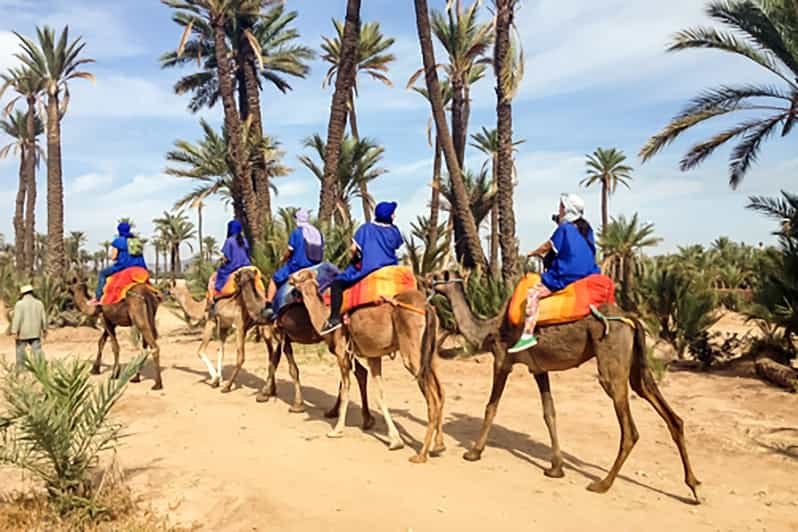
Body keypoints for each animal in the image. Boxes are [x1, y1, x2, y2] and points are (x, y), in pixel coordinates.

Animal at [292, 268, 446, 464]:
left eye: (300, 274)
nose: (289, 278)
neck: (325, 317)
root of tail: (426, 307)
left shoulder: (342, 352)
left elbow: (346, 389)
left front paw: (337, 430)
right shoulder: (374, 355)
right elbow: (379, 395)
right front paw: (394, 440)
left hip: (412, 350)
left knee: (432, 399)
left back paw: (421, 455)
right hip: (430, 352)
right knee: (441, 392)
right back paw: (439, 445)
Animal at [432, 272, 700, 500]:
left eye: (438, 276)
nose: (426, 281)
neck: (489, 329)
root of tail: (630, 319)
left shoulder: (502, 360)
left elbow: (491, 407)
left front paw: (473, 452)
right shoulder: (538, 368)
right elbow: (549, 412)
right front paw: (556, 468)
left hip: (611, 359)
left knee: (630, 429)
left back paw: (602, 484)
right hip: (636, 365)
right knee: (667, 412)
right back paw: (694, 486)